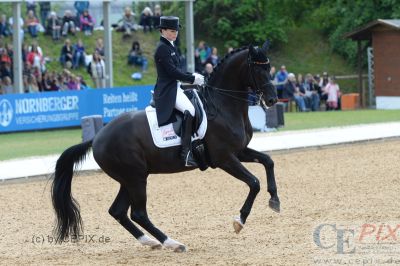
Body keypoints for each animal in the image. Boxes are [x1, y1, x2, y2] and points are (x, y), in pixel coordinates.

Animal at [51, 40, 280, 252]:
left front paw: (275, 201)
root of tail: (97, 137)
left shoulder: (238, 151)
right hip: (135, 178)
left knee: (118, 211)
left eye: (269, 67)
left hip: (129, 179)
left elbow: (268, 161)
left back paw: (150, 241)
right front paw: (239, 221)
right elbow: (254, 182)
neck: (222, 105)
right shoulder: (224, 158)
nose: (272, 100)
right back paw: (172, 243)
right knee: (138, 213)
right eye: (257, 69)